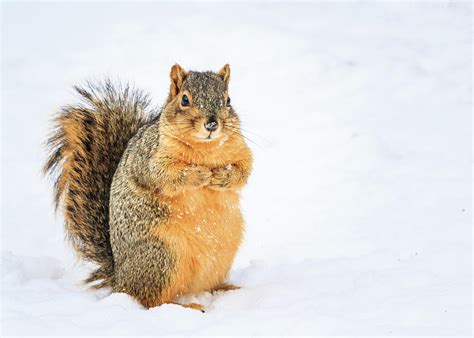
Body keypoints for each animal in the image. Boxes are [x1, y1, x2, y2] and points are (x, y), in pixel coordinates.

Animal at [43, 64, 252, 312]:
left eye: (228, 100)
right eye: (184, 99)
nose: (212, 124)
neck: (206, 148)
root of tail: (120, 279)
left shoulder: (239, 148)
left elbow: (244, 170)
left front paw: (223, 176)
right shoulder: (150, 157)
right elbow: (164, 176)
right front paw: (197, 174)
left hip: (220, 255)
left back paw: (227, 288)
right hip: (163, 256)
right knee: (150, 300)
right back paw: (186, 306)